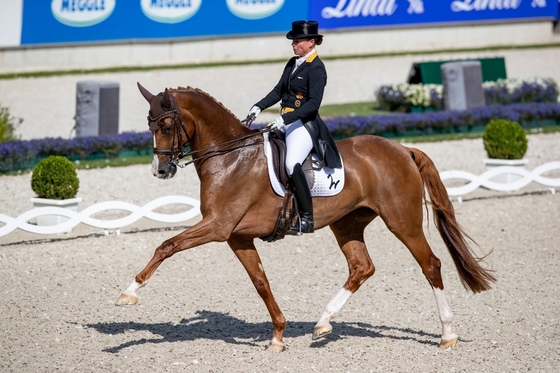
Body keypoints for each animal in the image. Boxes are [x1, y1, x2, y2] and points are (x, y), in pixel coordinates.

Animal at [115, 82, 494, 352]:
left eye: (166, 124)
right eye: (149, 124)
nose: (160, 170)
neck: (230, 159)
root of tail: (402, 148)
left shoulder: (218, 226)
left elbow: (167, 245)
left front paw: (129, 293)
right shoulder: (236, 235)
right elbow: (260, 282)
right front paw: (278, 336)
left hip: (403, 221)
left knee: (430, 265)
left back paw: (447, 335)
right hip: (347, 223)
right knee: (362, 267)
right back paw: (323, 323)